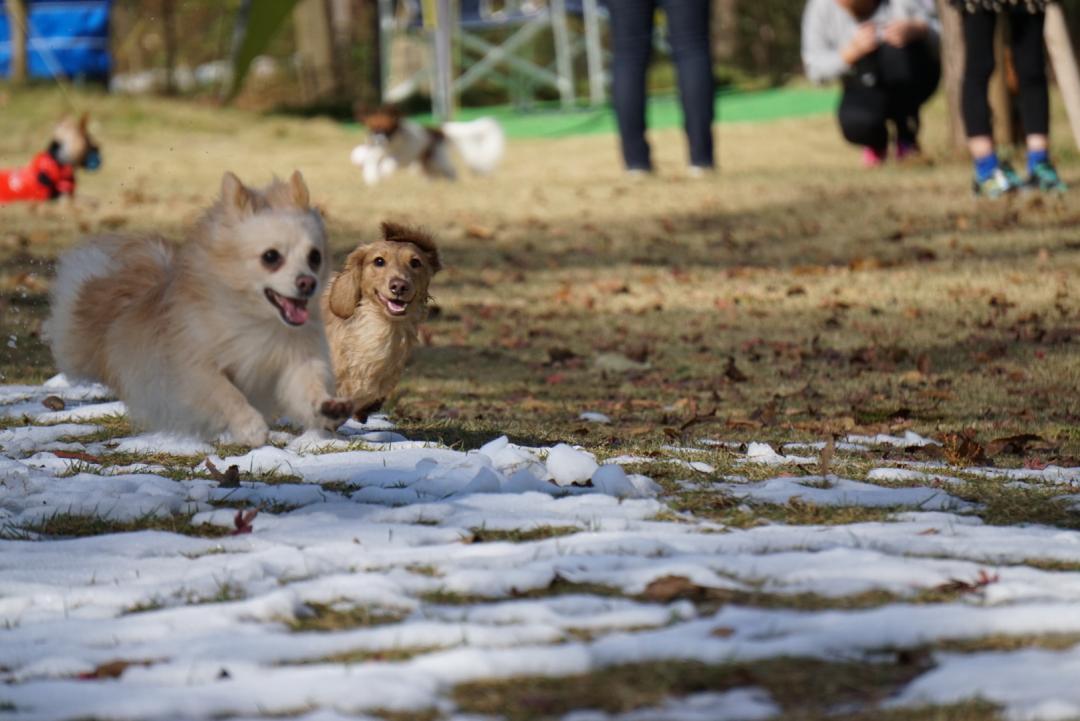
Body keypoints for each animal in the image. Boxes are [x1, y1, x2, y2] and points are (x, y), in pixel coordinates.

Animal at [44, 171, 352, 446]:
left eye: (314, 257)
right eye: (271, 257)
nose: (308, 282)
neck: (257, 318)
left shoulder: (296, 362)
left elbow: (310, 389)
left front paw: (328, 408)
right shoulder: (192, 369)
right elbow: (226, 392)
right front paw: (250, 427)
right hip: (80, 349)